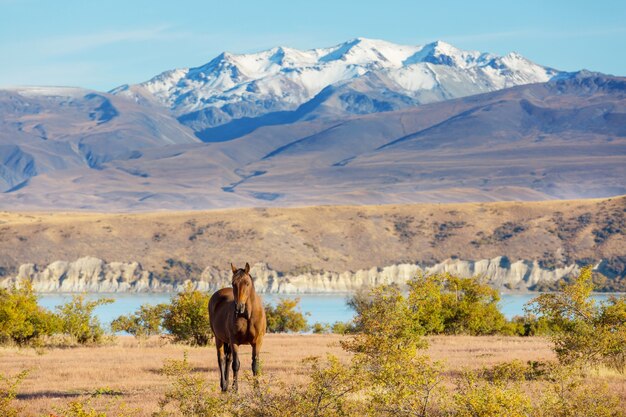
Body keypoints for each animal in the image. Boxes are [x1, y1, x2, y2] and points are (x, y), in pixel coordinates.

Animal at [206, 262, 262, 392]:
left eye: (247, 283)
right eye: (233, 283)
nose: (239, 307)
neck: (248, 316)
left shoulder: (257, 342)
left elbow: (255, 366)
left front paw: (257, 391)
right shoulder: (235, 341)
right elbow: (236, 365)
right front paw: (235, 389)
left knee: (228, 359)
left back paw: (226, 385)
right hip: (219, 339)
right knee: (221, 359)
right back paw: (224, 385)